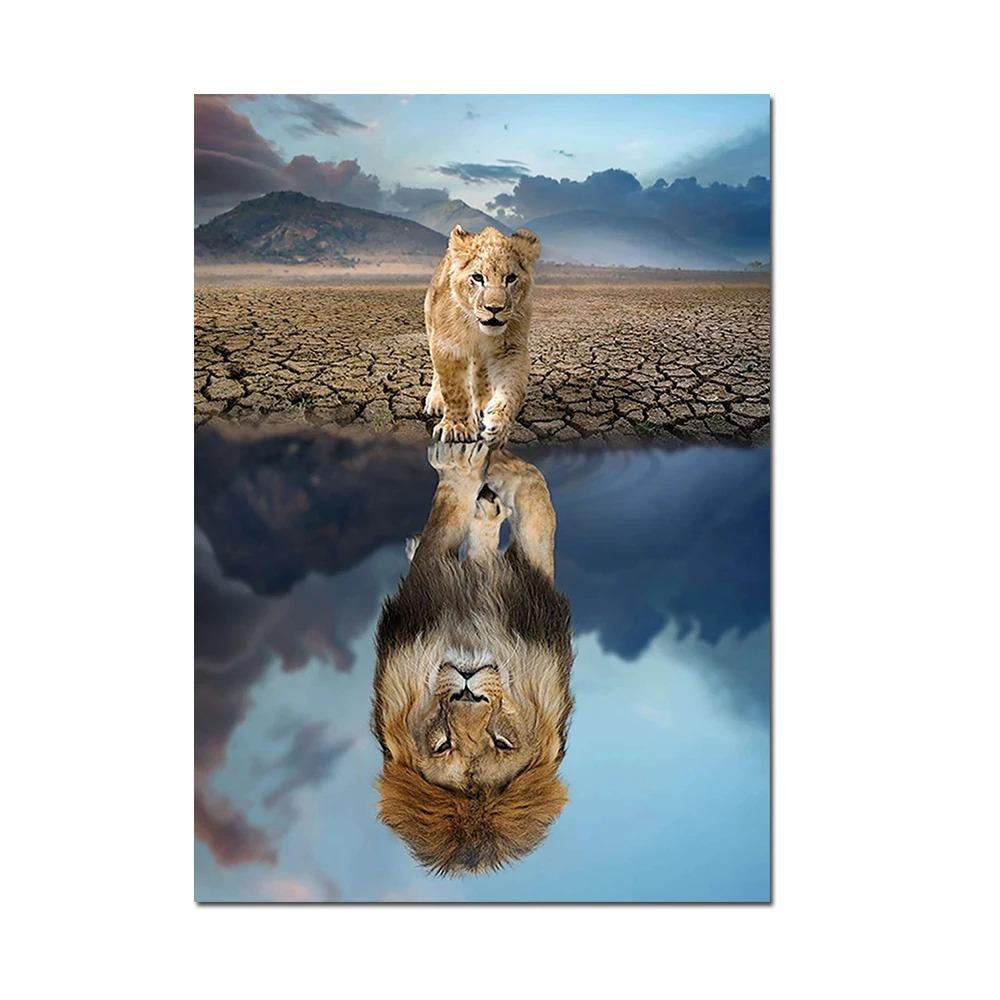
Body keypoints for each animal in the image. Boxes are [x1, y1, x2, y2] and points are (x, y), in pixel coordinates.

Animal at [372, 440, 573, 875]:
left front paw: (478, 469)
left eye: (501, 741)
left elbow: (535, 505)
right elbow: (533, 501)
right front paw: (479, 468)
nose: (467, 692)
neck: (471, 634)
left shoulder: (530, 595)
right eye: (443, 744)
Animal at [423, 225, 541, 448]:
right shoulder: (447, 346)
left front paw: (498, 425)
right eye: (478, 277)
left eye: (511, 278)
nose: (494, 308)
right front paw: (457, 427)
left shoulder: (510, 349)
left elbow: (512, 389)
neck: (477, 328)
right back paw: (435, 400)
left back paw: (483, 404)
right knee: (437, 373)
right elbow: (454, 389)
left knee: (481, 370)